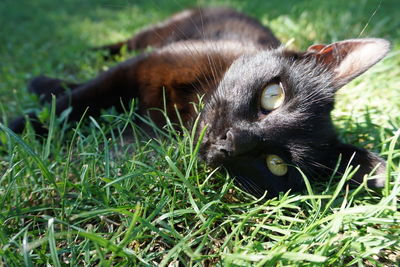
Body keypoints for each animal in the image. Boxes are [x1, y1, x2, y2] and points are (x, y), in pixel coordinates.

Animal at [10, 7, 390, 198]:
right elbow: (78, 99)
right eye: (273, 95)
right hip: (155, 34)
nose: (230, 142)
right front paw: (21, 126)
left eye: (276, 164)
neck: (187, 107)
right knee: (117, 47)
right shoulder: (143, 66)